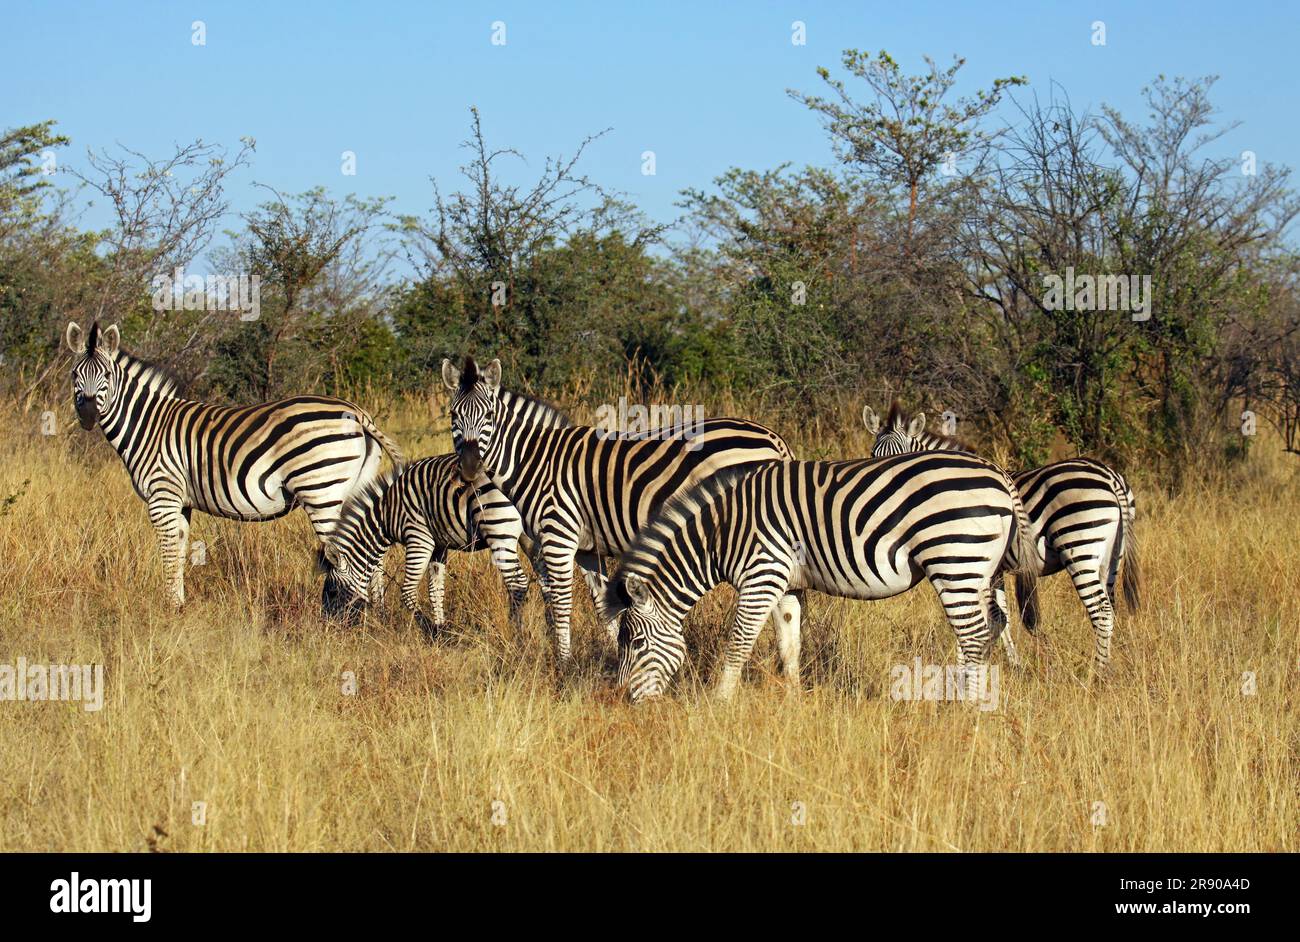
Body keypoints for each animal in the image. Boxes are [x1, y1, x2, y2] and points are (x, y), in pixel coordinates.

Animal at [65, 320, 404, 606]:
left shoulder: (163, 495)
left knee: (347, 549)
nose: (88, 416)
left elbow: (168, 551)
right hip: (354, 488)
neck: (149, 425)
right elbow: (180, 549)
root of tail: (357, 412)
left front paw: (169, 607)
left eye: (107, 376)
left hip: (322, 489)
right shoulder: (182, 501)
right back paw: (375, 611)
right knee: (372, 547)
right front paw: (179, 605)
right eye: (74, 375)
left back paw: (340, 613)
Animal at [317, 454, 534, 637]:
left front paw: (425, 632)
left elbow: (408, 591)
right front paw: (441, 629)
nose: (328, 629)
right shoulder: (439, 545)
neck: (386, 516)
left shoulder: (418, 536)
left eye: (332, 592)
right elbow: (435, 589)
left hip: (499, 531)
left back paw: (517, 632)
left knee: (518, 583)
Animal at [441, 355, 799, 665]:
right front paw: (616, 657)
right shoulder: (588, 549)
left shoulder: (559, 536)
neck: (537, 460)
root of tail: (775, 440)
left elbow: (561, 601)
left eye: (489, 417)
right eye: (453, 416)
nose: (470, 468)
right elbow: (603, 604)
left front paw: (564, 664)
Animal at [604, 454, 1039, 703]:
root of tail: (999, 475)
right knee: (991, 627)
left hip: (954, 559)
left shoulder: (761, 574)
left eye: (635, 643)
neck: (720, 534)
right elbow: (789, 645)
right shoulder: (786, 585)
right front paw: (795, 703)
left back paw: (968, 709)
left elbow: (738, 644)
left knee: (974, 637)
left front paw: (719, 704)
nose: (623, 700)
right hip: (980, 568)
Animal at [864, 402, 1140, 670]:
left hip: (1079, 544)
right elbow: (998, 615)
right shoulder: (992, 570)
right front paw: (1011, 661)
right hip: (1112, 555)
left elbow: (988, 615)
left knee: (1101, 610)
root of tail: (1109, 475)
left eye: (902, 458)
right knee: (1111, 605)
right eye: (872, 456)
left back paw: (1098, 671)